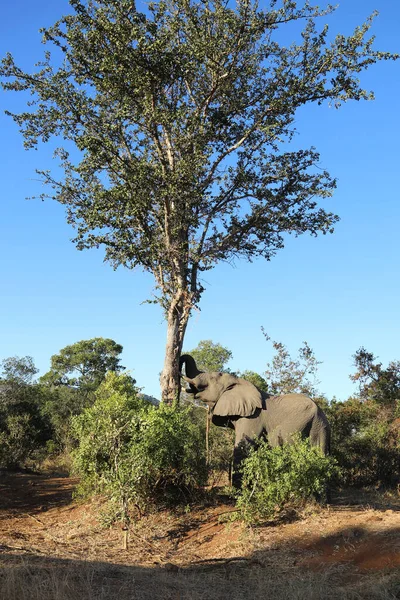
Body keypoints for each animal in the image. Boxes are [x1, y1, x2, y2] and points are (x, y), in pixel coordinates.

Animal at [180, 356, 330, 488]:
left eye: (213, 377)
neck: (239, 382)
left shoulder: (253, 417)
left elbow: (243, 446)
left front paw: (238, 493)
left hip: (305, 425)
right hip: (320, 426)